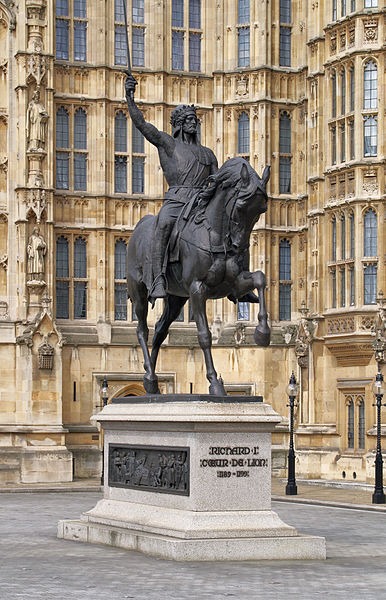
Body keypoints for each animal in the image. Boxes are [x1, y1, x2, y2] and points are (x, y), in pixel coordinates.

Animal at [127, 157, 272, 396]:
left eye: (262, 210)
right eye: (241, 206)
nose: (239, 248)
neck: (215, 232)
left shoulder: (233, 283)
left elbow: (260, 278)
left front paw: (262, 332)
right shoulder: (197, 288)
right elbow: (204, 335)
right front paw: (214, 382)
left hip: (176, 298)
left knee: (159, 330)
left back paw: (150, 381)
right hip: (139, 291)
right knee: (142, 330)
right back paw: (149, 375)